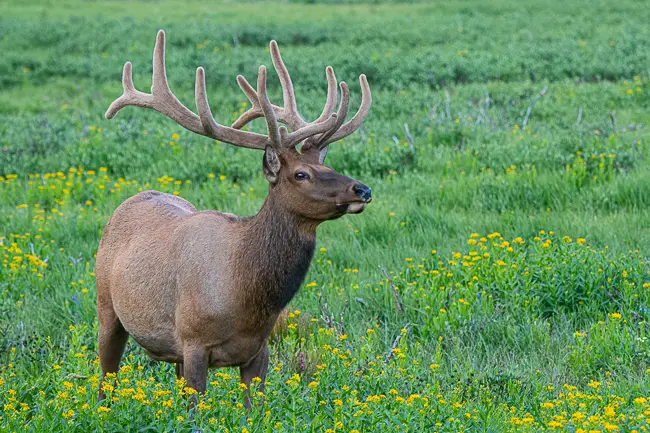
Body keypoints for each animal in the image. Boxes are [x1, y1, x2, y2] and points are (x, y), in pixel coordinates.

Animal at [95, 31, 370, 402]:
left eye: (329, 166)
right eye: (301, 174)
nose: (362, 190)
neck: (245, 297)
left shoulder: (259, 349)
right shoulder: (194, 340)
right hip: (106, 308)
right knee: (104, 381)